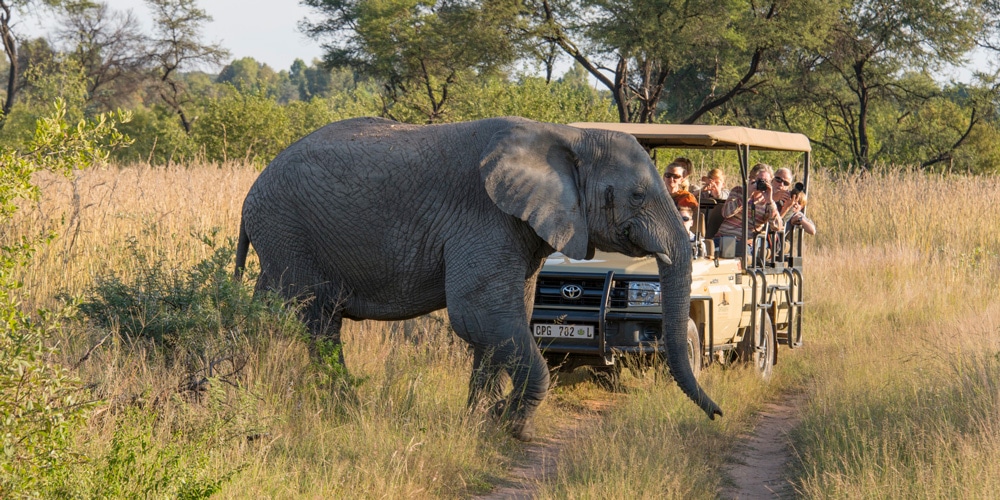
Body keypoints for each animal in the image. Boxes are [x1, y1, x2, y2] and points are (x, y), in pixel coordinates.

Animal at [234, 116, 720, 438]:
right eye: (637, 195)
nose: (718, 415)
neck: (569, 135)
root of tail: (251, 192)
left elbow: (503, 320)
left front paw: (480, 421)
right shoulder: (484, 218)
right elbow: (481, 316)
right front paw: (508, 425)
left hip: (282, 240)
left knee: (276, 315)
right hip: (288, 233)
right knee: (315, 321)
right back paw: (340, 409)